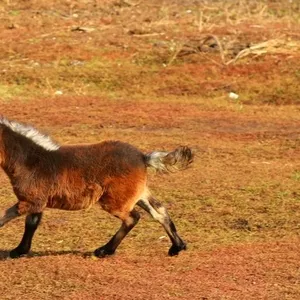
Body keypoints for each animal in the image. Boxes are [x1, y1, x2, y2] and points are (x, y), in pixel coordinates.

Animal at [0, 117, 193, 258]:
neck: (31, 161)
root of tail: (143, 157)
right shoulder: (37, 201)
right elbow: (31, 223)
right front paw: (20, 251)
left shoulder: (30, 201)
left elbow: (6, 215)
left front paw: (16, 251)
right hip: (137, 194)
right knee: (159, 211)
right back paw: (177, 247)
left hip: (115, 201)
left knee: (133, 217)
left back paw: (104, 251)